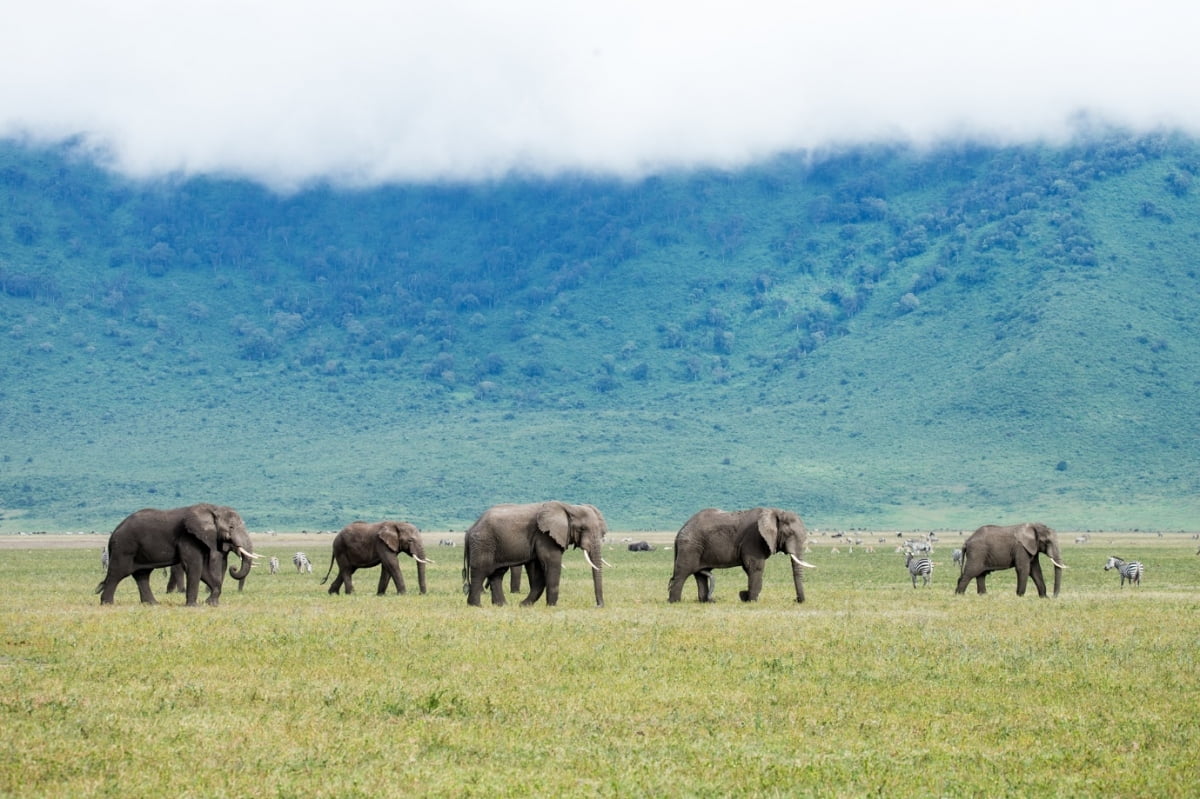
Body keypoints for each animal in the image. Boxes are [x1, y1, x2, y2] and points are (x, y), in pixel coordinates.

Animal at [96, 501, 258, 607]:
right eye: (231, 527)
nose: (234, 567)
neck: (212, 509)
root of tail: (114, 532)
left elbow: (203, 569)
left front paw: (211, 603)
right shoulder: (188, 537)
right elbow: (194, 566)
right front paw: (193, 606)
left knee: (142, 574)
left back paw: (153, 604)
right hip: (124, 547)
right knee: (118, 573)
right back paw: (107, 604)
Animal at [460, 501, 609, 607]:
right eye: (582, 528)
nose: (597, 606)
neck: (569, 507)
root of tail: (470, 529)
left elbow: (538, 570)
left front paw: (523, 605)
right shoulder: (545, 536)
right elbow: (551, 563)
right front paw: (552, 606)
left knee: (497, 573)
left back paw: (502, 605)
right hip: (483, 542)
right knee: (480, 570)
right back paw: (476, 606)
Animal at [667, 506, 816, 599]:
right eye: (789, 533)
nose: (797, 600)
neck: (775, 511)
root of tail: (680, 530)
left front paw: (746, 596)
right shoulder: (753, 537)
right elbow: (755, 567)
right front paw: (751, 600)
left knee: (700, 575)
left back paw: (706, 601)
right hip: (690, 546)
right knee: (682, 573)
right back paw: (675, 602)